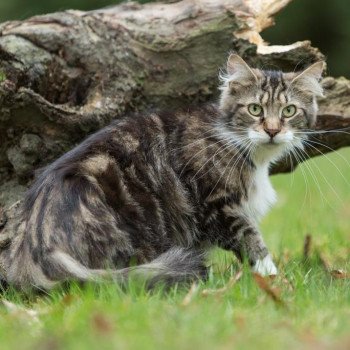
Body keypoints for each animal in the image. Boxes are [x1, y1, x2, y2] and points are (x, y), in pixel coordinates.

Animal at [0, 54, 326, 290]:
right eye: (255, 109)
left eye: (288, 112)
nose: (272, 130)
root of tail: (36, 244)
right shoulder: (217, 205)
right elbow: (253, 242)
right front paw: (275, 279)